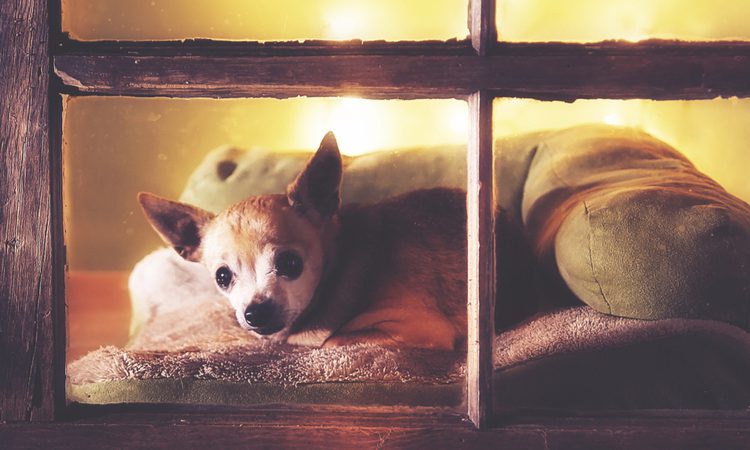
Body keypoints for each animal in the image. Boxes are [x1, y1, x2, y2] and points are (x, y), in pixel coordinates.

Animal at [140, 132, 470, 350]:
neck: (340, 266)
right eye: (223, 277)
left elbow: (331, 340)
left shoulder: (419, 327)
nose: (255, 312)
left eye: (290, 263)